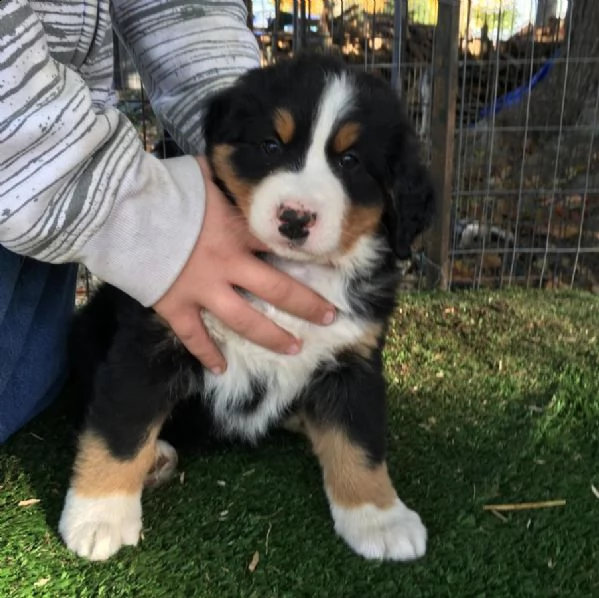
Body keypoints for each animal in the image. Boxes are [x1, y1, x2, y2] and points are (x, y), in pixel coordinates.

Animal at [59, 51, 436, 564]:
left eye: (350, 161)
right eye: (270, 146)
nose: (295, 218)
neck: (290, 271)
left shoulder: (351, 360)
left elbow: (359, 441)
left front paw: (379, 517)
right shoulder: (152, 342)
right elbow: (120, 428)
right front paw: (99, 515)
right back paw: (155, 457)